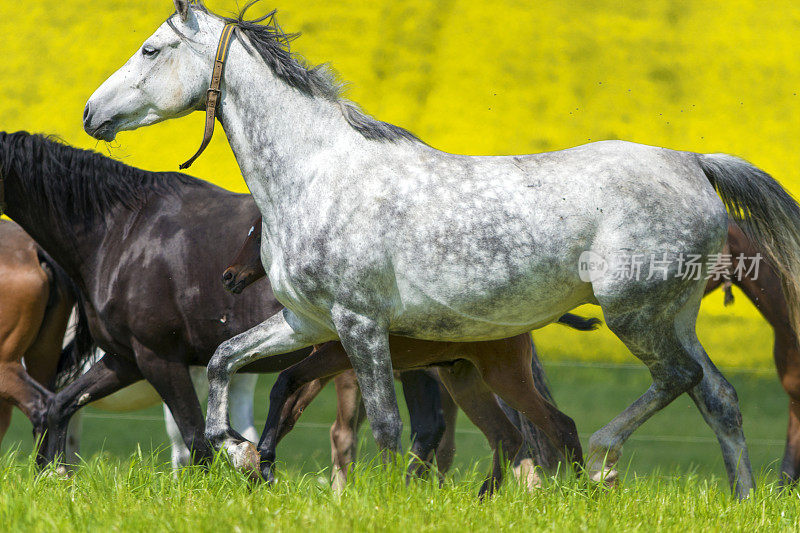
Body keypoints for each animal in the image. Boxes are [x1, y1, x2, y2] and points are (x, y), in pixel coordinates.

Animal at [79, 2, 800, 496]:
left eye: (151, 49)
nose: (91, 114)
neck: (320, 174)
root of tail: (691, 163)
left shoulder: (359, 326)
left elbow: (385, 425)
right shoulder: (306, 323)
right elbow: (227, 361)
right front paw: (240, 453)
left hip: (633, 312)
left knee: (671, 384)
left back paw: (603, 461)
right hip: (674, 314)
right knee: (719, 396)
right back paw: (740, 498)